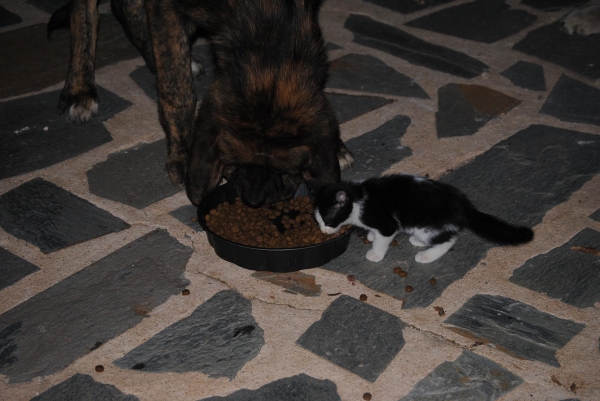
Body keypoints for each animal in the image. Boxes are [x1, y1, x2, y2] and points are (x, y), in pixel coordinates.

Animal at [51, 0, 354, 206]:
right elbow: (177, 86)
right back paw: (79, 89)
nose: (254, 201)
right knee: (85, 12)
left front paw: (337, 146)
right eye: (232, 163)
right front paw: (183, 154)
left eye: (285, 171)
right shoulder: (165, 7)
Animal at [312, 174, 532, 262]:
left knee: (448, 240)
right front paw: (371, 236)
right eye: (318, 221)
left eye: (328, 220)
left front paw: (376, 253)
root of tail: (462, 204)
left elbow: (384, 238)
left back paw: (426, 256)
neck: (358, 198)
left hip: (427, 227)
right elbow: (376, 233)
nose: (323, 230)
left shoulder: (387, 224)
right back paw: (417, 242)